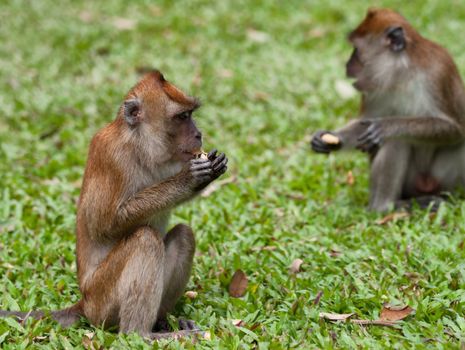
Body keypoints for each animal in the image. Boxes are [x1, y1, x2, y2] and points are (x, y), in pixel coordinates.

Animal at [0, 70, 228, 340]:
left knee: (184, 235)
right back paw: (142, 334)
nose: (198, 134)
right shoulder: (113, 157)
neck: (139, 147)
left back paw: (161, 322)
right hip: (102, 300)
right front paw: (189, 179)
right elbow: (105, 224)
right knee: (145, 239)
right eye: (182, 117)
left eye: (190, 115)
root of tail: (84, 303)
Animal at [310, 7, 465, 211]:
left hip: (445, 182)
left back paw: (384, 207)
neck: (402, 74)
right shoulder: (374, 89)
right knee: (395, 142)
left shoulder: (438, 73)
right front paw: (331, 139)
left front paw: (388, 125)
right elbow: (365, 124)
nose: (347, 64)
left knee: (395, 138)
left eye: (356, 50)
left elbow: (456, 129)